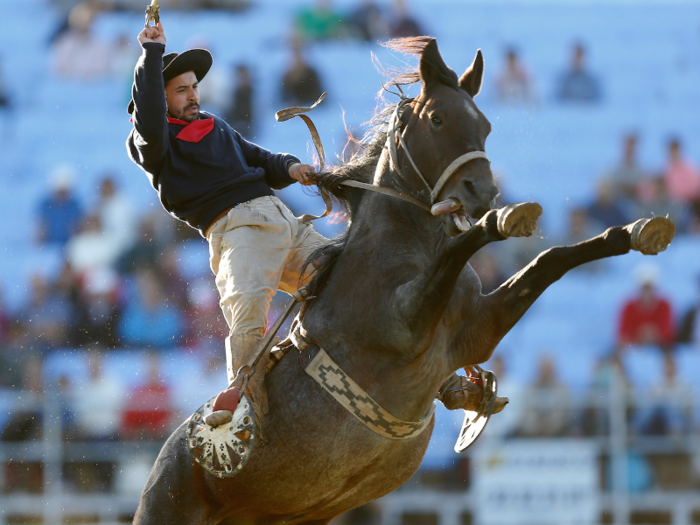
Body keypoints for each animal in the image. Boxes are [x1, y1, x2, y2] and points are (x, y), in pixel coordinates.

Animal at [134, 37, 676, 524]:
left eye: (484, 123)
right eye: (437, 119)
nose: (482, 191)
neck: (400, 249)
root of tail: (166, 462)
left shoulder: (478, 329)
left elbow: (551, 260)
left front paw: (635, 231)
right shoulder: (406, 325)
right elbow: (468, 243)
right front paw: (503, 219)